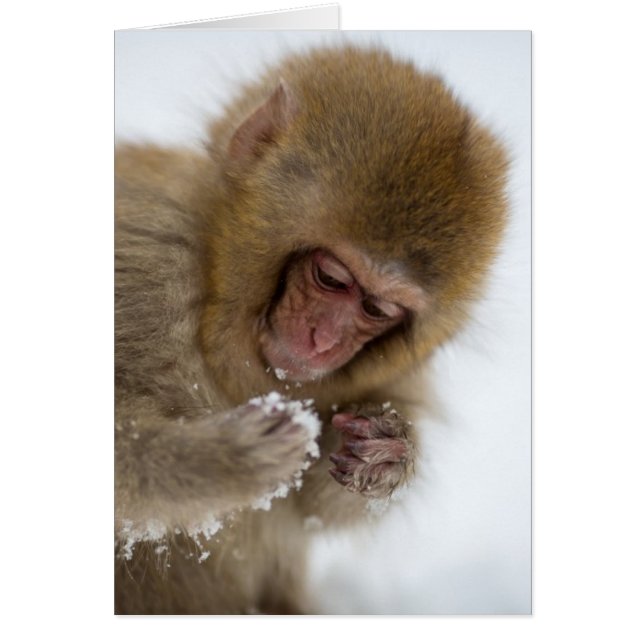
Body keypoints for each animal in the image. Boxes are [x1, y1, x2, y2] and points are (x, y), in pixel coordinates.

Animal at [115, 45, 508, 615]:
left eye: (378, 309)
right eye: (332, 278)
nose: (323, 341)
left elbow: (310, 507)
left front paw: (386, 454)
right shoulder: (146, 252)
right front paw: (224, 462)